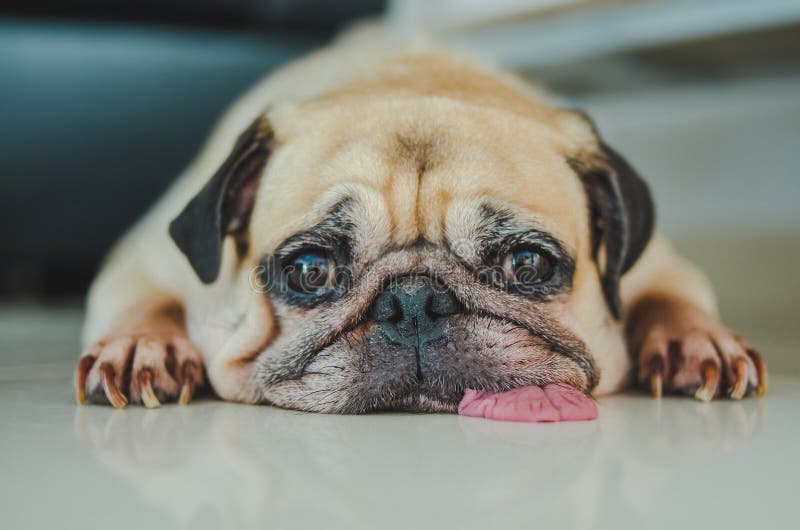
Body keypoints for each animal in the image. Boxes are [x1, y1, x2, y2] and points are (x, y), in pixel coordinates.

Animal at [76, 37, 768, 410]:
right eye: (309, 272)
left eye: (527, 264)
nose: (413, 302)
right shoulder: (142, 257)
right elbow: (145, 302)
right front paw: (143, 347)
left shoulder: (662, 265)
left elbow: (671, 297)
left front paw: (694, 342)